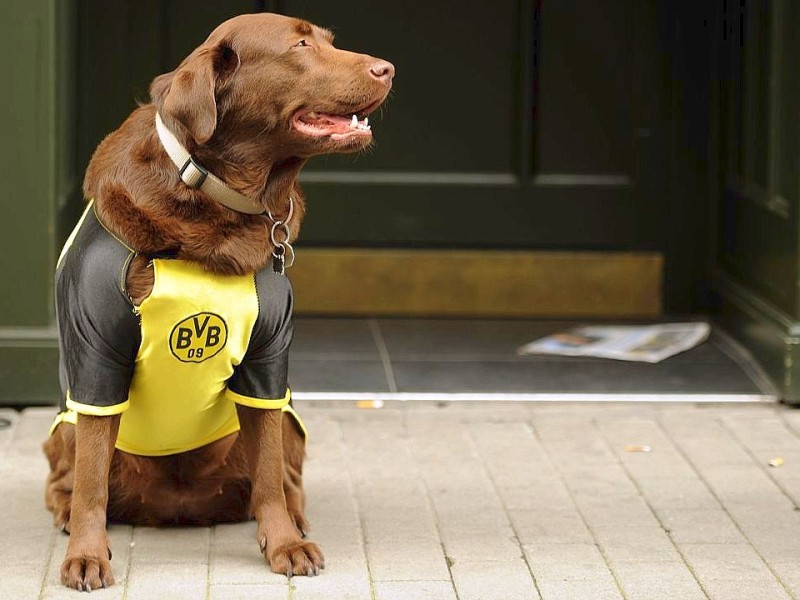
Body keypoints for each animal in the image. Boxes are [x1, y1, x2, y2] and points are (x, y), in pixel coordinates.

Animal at [43, 12, 394, 592]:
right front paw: (87, 555)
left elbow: (269, 472)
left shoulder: (268, 360)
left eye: (328, 41)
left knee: (285, 475)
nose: (387, 68)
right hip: (64, 431)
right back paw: (66, 514)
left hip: (292, 420)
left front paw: (285, 545)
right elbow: (92, 480)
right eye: (300, 46)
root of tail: (178, 507)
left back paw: (295, 519)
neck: (215, 198)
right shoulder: (96, 354)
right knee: (70, 477)